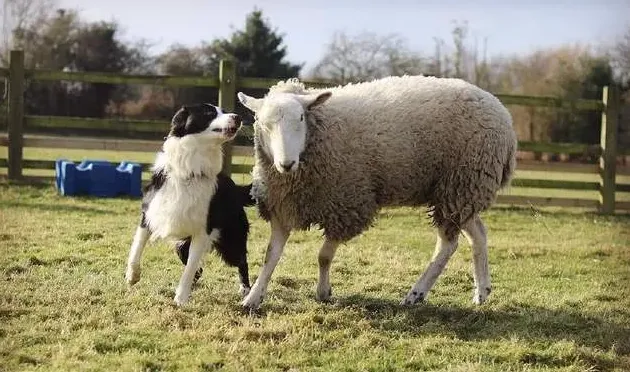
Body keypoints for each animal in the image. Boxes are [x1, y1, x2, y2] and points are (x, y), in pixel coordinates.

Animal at [124, 102, 256, 306]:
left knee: (241, 261)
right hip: (182, 245)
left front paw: (180, 299)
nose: (238, 117)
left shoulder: (202, 231)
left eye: (225, 111)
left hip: (230, 241)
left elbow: (190, 268)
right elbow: (137, 246)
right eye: (209, 112)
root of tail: (235, 188)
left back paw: (246, 290)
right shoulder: (149, 213)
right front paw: (132, 276)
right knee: (198, 269)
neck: (191, 167)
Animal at [237, 74, 520, 310]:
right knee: (478, 235)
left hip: (461, 183)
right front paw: (253, 298)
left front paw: (323, 292)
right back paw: (481, 292)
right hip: (460, 192)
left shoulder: (347, 204)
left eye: (301, 118)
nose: (287, 163)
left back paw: (415, 294)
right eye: (263, 124)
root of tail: (505, 117)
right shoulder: (283, 207)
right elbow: (270, 257)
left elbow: (324, 256)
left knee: (448, 244)